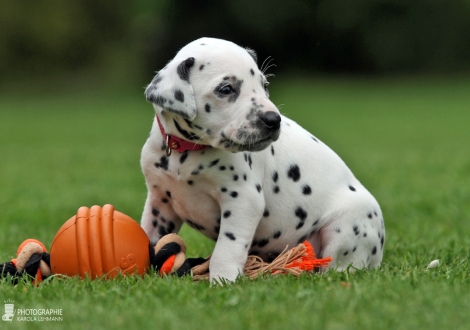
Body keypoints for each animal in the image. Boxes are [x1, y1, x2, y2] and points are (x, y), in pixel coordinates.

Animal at [140, 36, 386, 284]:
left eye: (264, 85)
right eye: (226, 89)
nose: (273, 120)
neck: (186, 152)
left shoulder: (243, 200)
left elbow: (226, 248)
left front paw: (222, 281)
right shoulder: (159, 203)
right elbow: (148, 235)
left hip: (344, 229)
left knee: (337, 266)